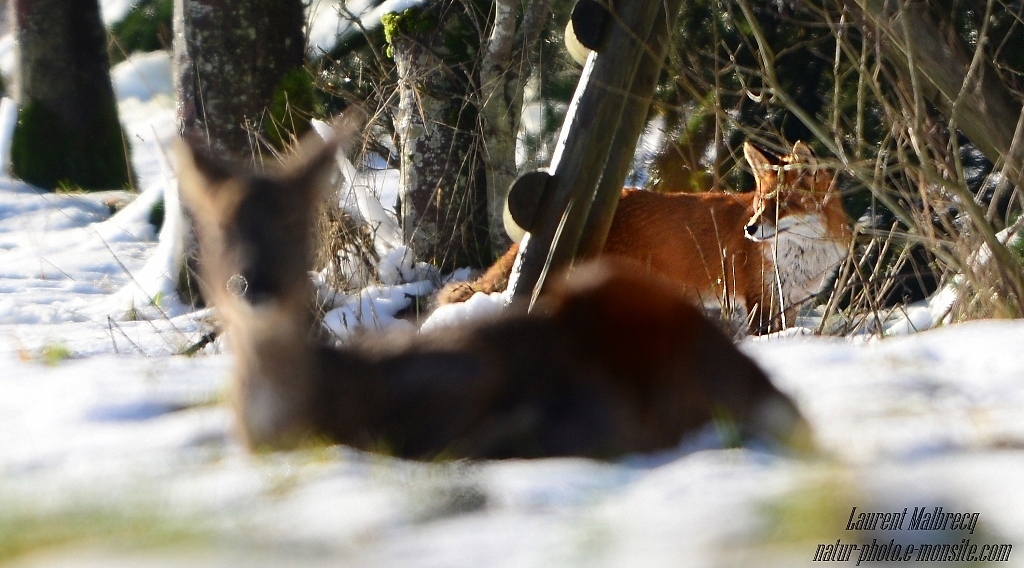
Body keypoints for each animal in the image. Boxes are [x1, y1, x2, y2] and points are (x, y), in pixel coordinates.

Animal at [438, 140, 847, 333]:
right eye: (762, 203)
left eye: (782, 204)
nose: (749, 230)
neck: (801, 256)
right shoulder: (759, 300)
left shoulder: (790, 303)